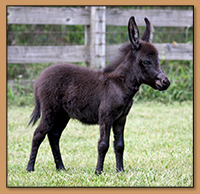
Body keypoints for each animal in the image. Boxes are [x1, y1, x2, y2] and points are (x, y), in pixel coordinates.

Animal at [26, 16, 170, 174]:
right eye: (146, 62)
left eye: (158, 60)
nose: (166, 82)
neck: (119, 84)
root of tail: (40, 79)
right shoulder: (106, 117)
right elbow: (103, 144)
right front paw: (98, 172)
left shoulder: (121, 119)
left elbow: (120, 145)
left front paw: (120, 171)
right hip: (50, 111)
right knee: (38, 135)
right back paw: (30, 168)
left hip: (63, 115)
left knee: (53, 136)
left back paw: (61, 168)